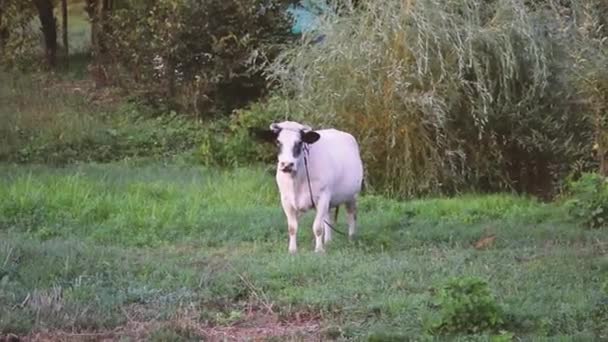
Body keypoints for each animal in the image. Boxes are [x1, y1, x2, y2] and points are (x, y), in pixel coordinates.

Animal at [254, 121, 364, 254]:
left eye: (299, 142)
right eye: (278, 142)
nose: (287, 164)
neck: (296, 181)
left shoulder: (322, 197)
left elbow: (317, 227)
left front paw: (319, 250)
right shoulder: (286, 200)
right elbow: (292, 227)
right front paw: (292, 250)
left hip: (352, 196)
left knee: (352, 215)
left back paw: (351, 238)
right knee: (328, 217)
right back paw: (328, 241)